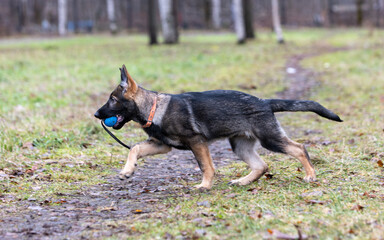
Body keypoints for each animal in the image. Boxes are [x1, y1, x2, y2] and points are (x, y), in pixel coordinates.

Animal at [95, 65, 342, 189]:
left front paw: (204, 185)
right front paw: (127, 171)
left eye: (112, 100)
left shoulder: (196, 142)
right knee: (262, 165)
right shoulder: (162, 145)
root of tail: (264, 102)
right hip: (240, 145)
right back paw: (243, 181)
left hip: (269, 138)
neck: (155, 108)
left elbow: (206, 166)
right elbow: (135, 149)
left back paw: (310, 175)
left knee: (299, 148)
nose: (96, 114)